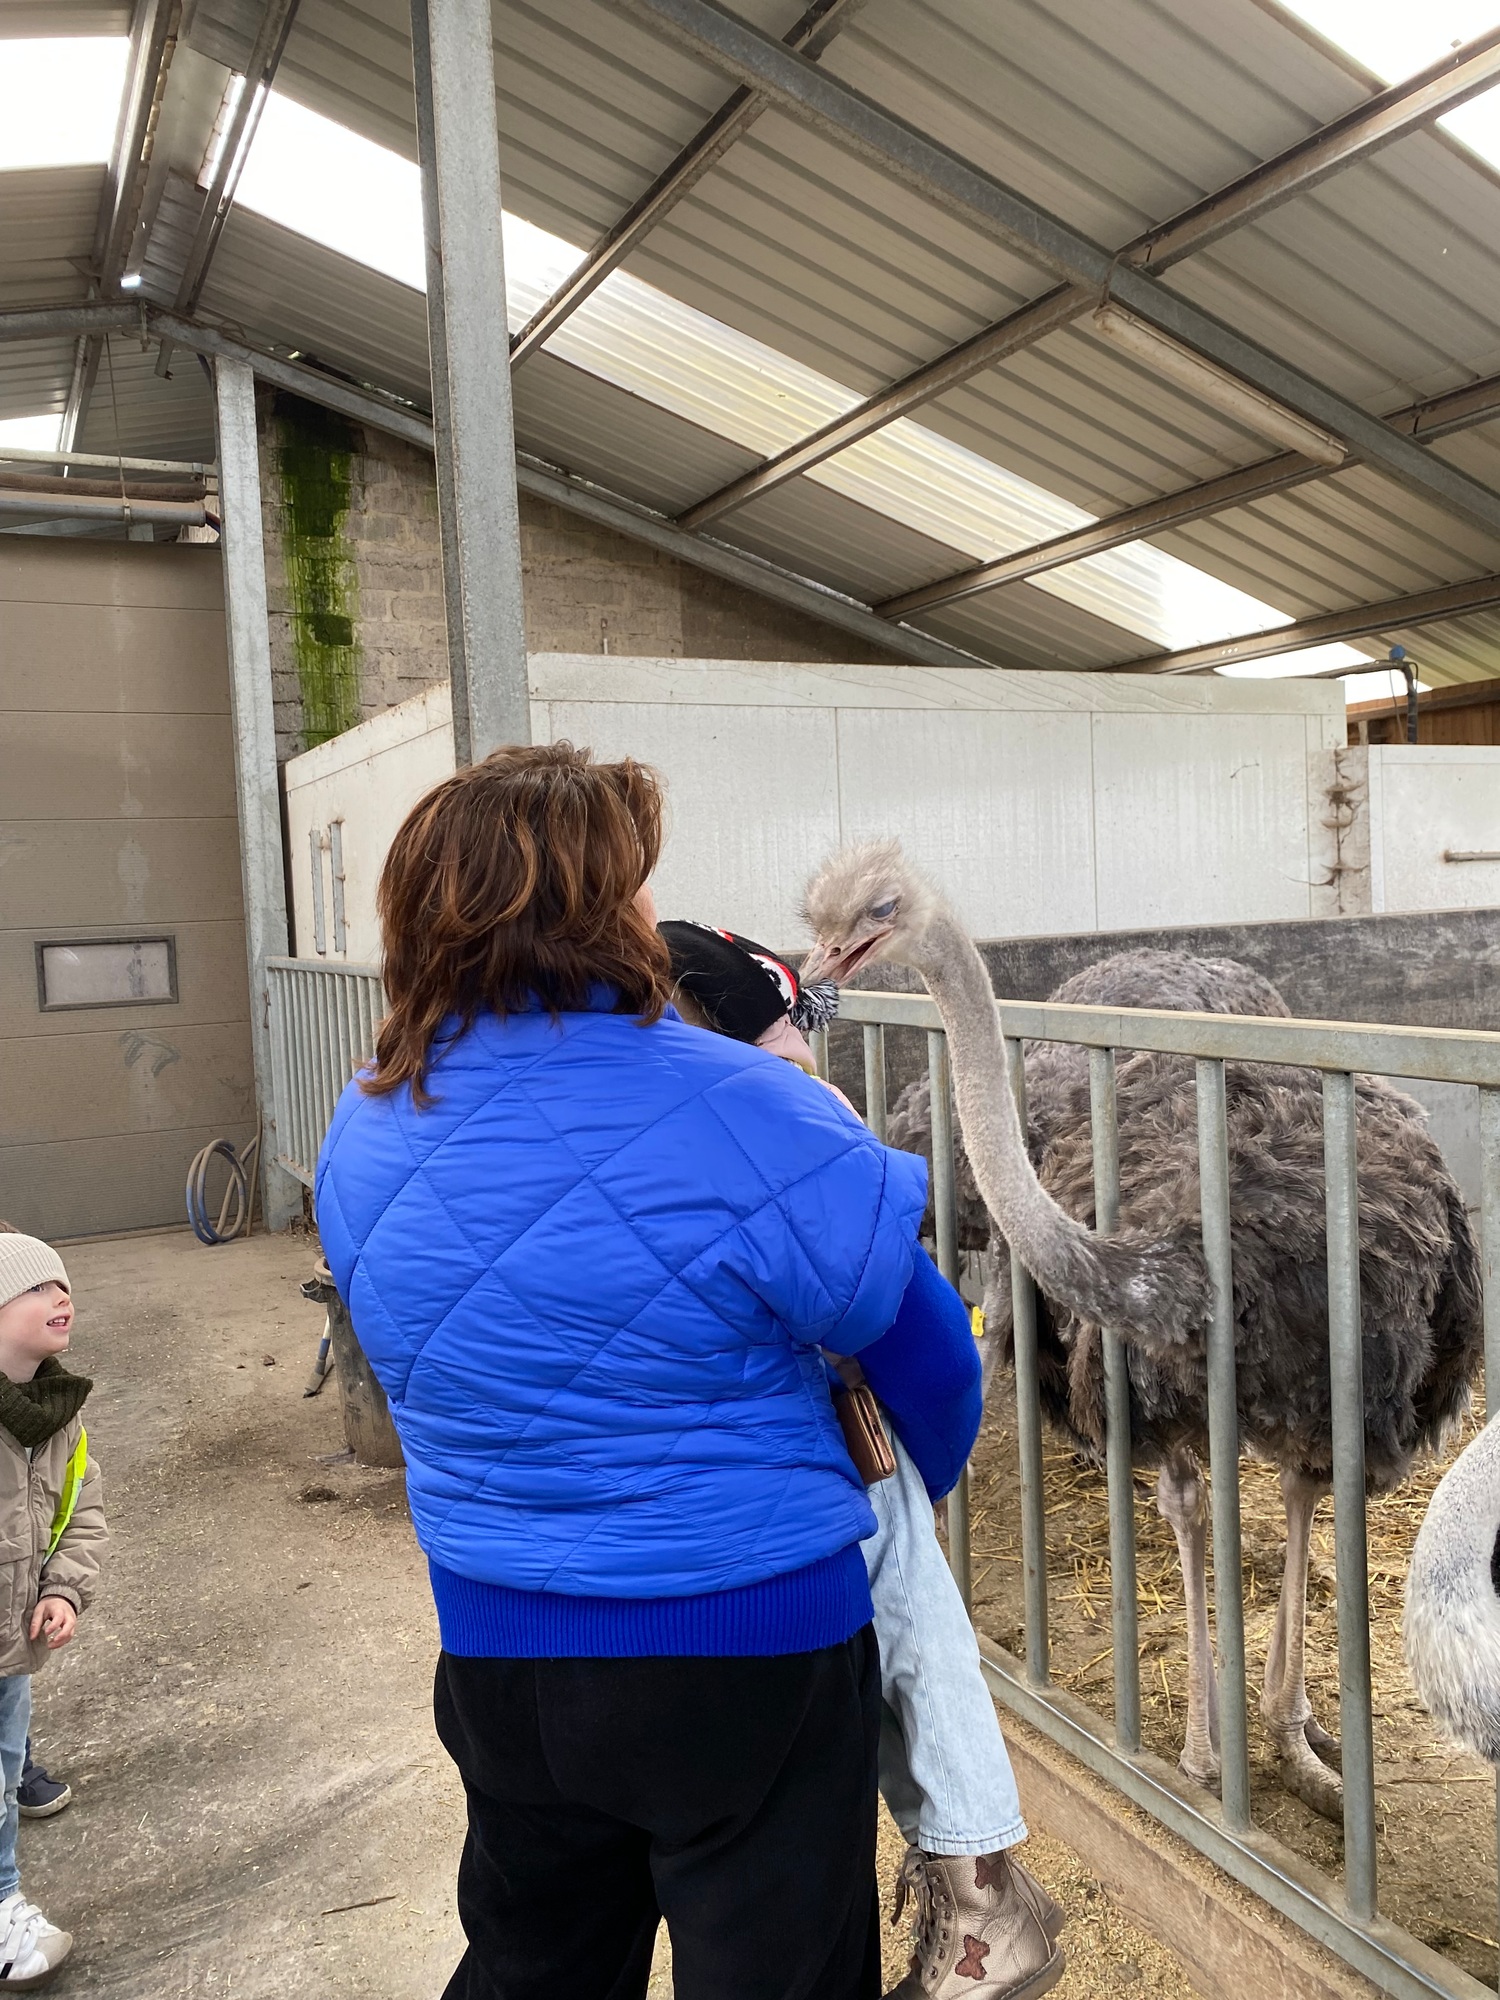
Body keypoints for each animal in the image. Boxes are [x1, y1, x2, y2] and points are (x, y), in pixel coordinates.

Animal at [801, 842, 1483, 1817]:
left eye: (880, 909)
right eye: (820, 920)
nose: (814, 967)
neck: (1175, 1271)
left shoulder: (1337, 1403)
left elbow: (1293, 1494)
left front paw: (1290, 1742)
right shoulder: (1153, 1409)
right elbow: (1191, 1509)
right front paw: (1204, 1753)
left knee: (1297, 1491)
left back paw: (1301, 1726)